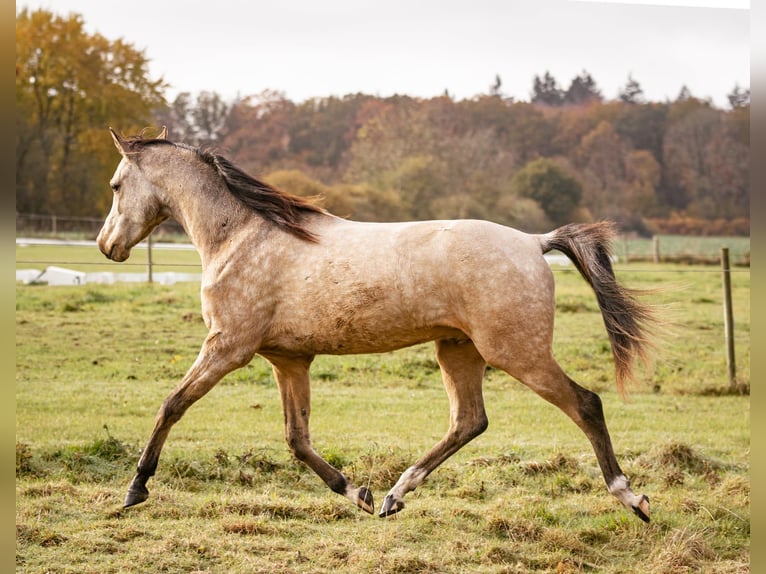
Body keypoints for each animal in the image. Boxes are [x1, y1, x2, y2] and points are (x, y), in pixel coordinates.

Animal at [97, 127, 654, 522]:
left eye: (116, 185)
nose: (107, 246)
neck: (241, 237)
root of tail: (534, 242)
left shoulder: (227, 347)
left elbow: (172, 405)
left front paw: (135, 488)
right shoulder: (288, 360)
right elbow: (297, 439)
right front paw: (356, 492)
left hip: (518, 353)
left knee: (585, 403)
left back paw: (632, 499)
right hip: (458, 351)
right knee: (469, 421)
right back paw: (393, 495)